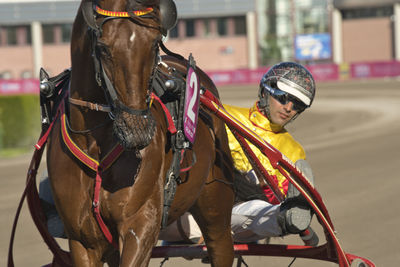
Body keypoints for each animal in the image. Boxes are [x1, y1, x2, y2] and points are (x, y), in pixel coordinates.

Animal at [46, 0, 234, 266]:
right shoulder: (83, 239)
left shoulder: (140, 222)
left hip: (215, 202)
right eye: (103, 48)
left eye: (154, 43)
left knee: (220, 244)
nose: (137, 130)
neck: (95, 143)